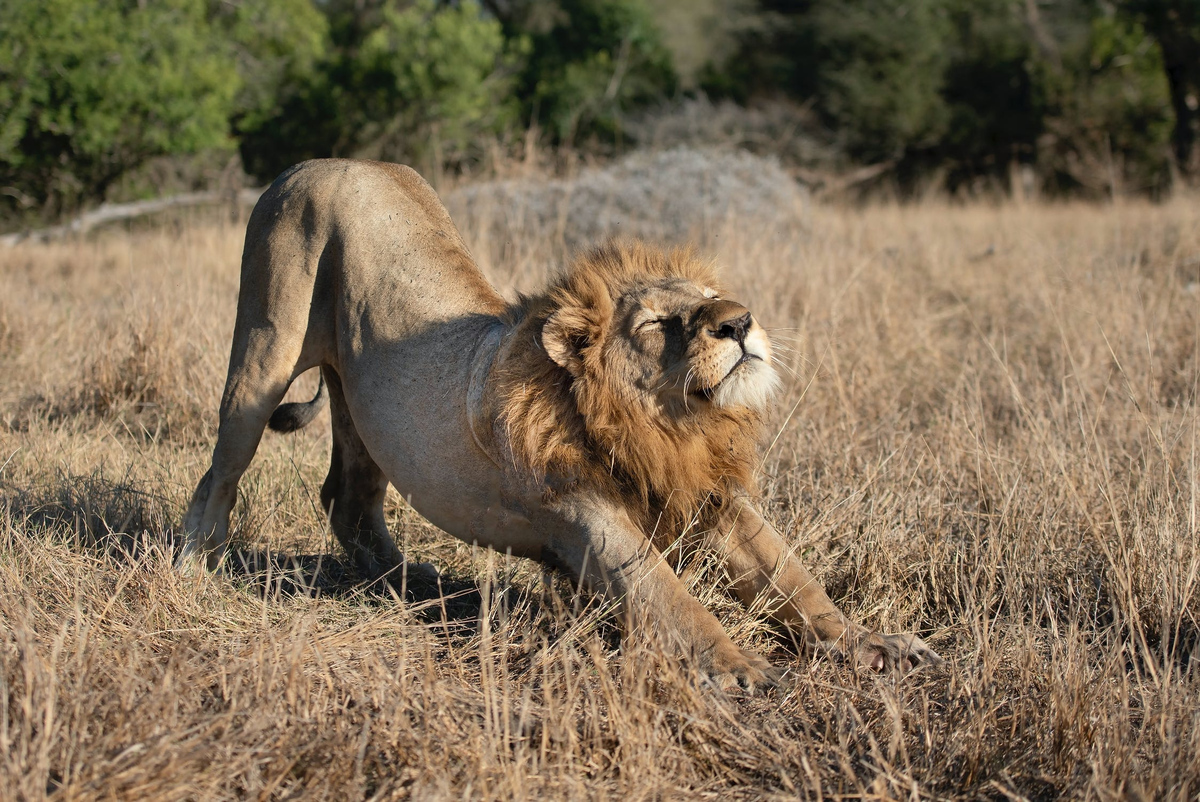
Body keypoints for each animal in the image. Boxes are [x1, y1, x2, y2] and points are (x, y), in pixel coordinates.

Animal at [182, 158, 940, 691]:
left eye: (710, 299)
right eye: (659, 324)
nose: (740, 321)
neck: (672, 428)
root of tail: (323, 162)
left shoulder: (712, 496)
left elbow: (796, 581)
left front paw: (871, 644)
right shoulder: (588, 516)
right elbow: (670, 599)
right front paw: (741, 670)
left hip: (363, 409)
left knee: (346, 498)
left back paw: (411, 584)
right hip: (264, 347)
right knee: (218, 475)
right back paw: (195, 567)